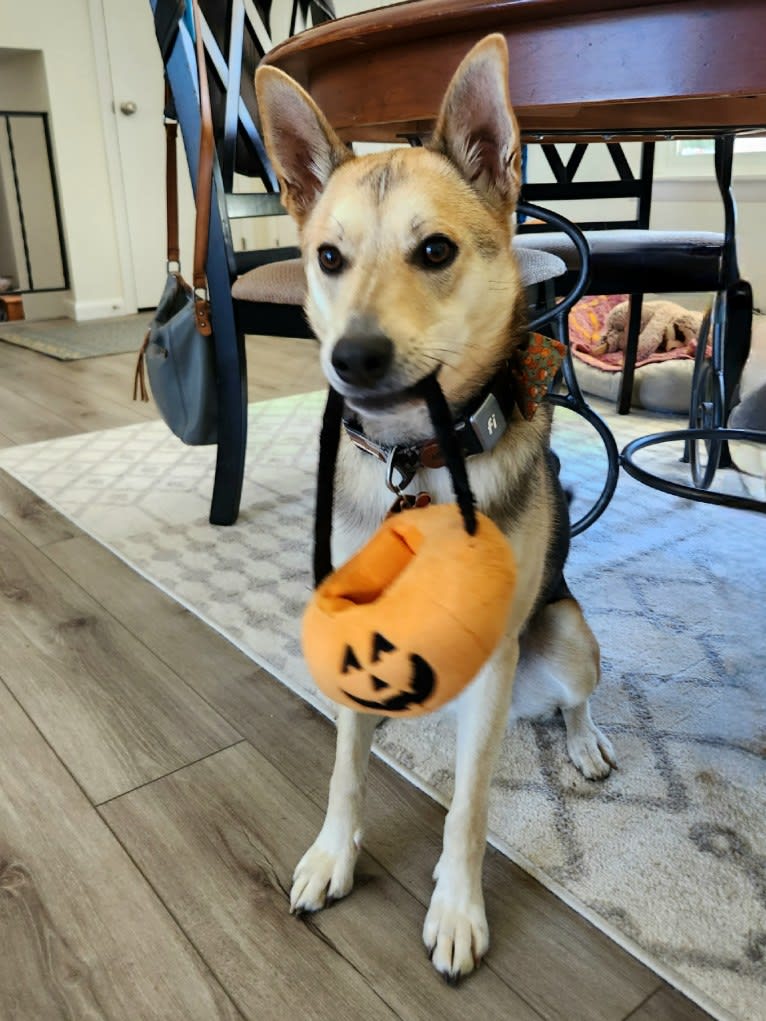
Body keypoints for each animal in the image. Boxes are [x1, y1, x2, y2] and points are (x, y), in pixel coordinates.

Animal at [258, 33, 616, 980]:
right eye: (329, 258)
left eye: (435, 252)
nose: (352, 358)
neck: (416, 458)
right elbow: (345, 769)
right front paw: (332, 854)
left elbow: (469, 808)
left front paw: (457, 906)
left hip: (564, 636)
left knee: (572, 700)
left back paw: (585, 742)